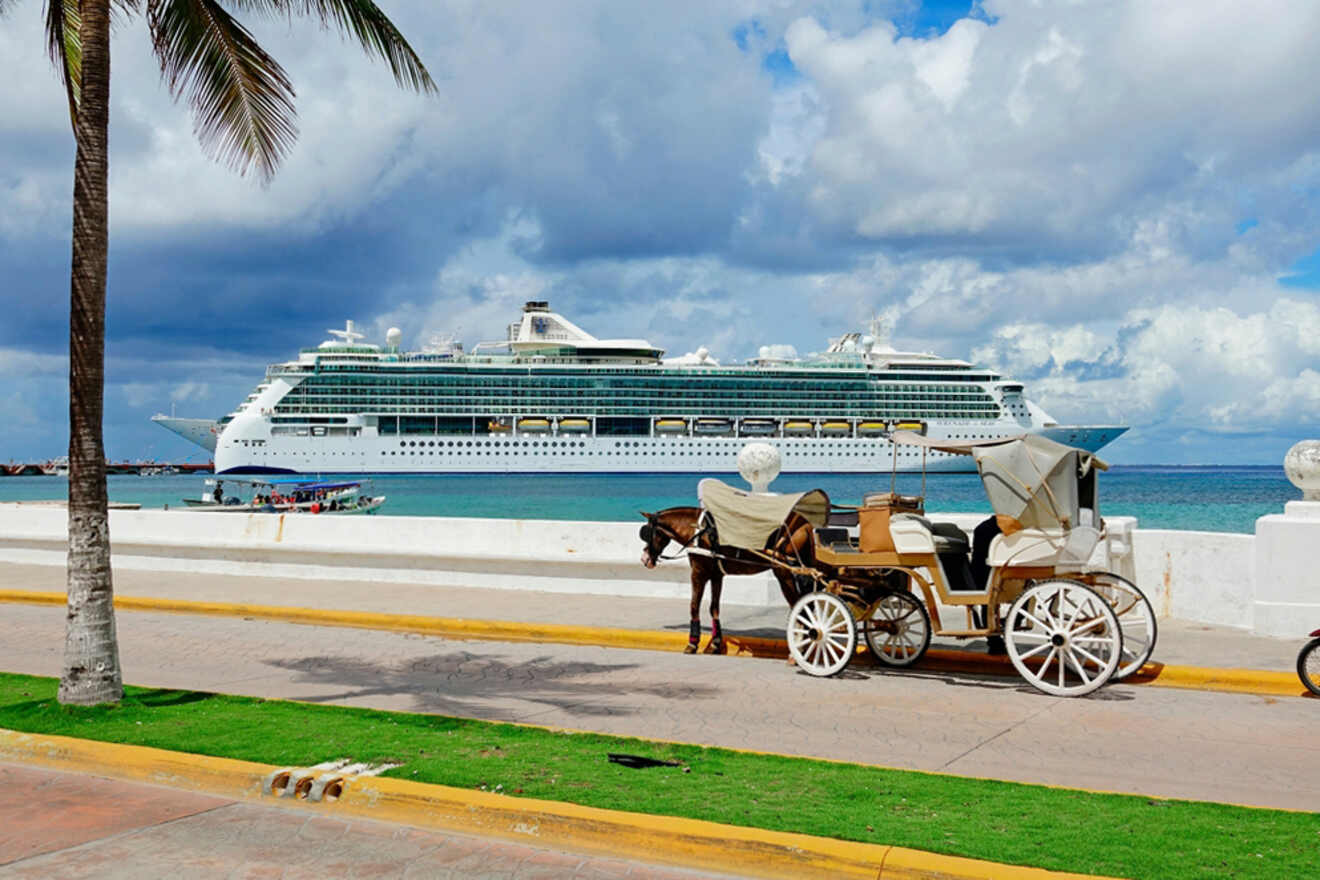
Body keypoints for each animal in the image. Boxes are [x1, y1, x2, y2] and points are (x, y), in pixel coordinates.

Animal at [636, 509, 813, 654]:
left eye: (647, 532)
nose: (645, 559)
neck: (698, 530)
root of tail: (805, 524)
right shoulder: (716, 575)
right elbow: (714, 608)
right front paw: (716, 643)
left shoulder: (698, 573)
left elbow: (694, 606)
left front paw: (693, 643)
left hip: (785, 573)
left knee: (801, 608)